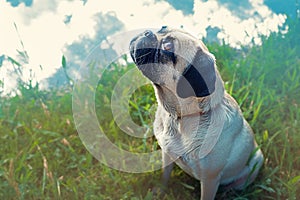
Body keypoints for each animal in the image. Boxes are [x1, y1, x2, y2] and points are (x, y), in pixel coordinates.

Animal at [129, 25, 262, 199]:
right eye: (162, 28)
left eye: (168, 47)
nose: (148, 32)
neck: (180, 118)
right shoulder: (167, 153)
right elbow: (165, 175)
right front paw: (160, 190)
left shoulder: (210, 179)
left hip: (257, 161)